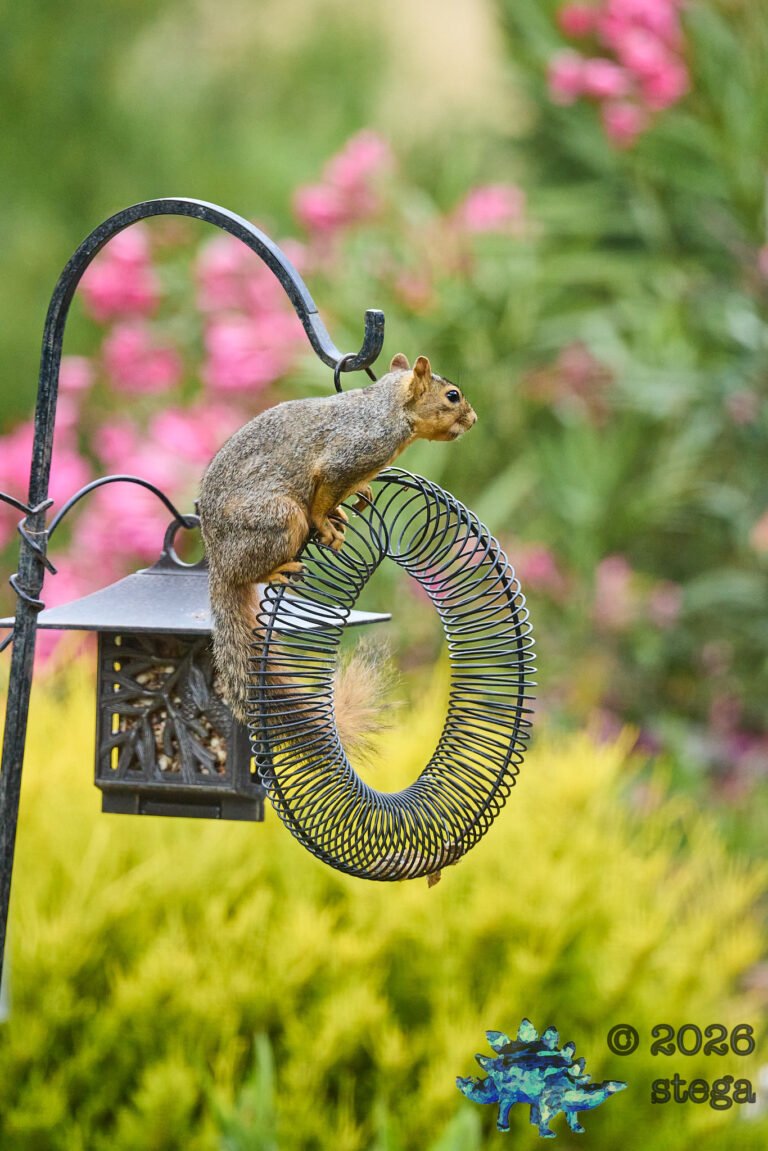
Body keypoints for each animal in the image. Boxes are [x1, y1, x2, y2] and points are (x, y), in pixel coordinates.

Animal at [197, 353, 477, 743]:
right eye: (453, 396)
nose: (473, 418)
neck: (388, 409)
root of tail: (217, 560)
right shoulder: (349, 455)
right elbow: (322, 492)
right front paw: (325, 523)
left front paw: (355, 499)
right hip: (278, 519)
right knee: (248, 570)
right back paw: (278, 569)